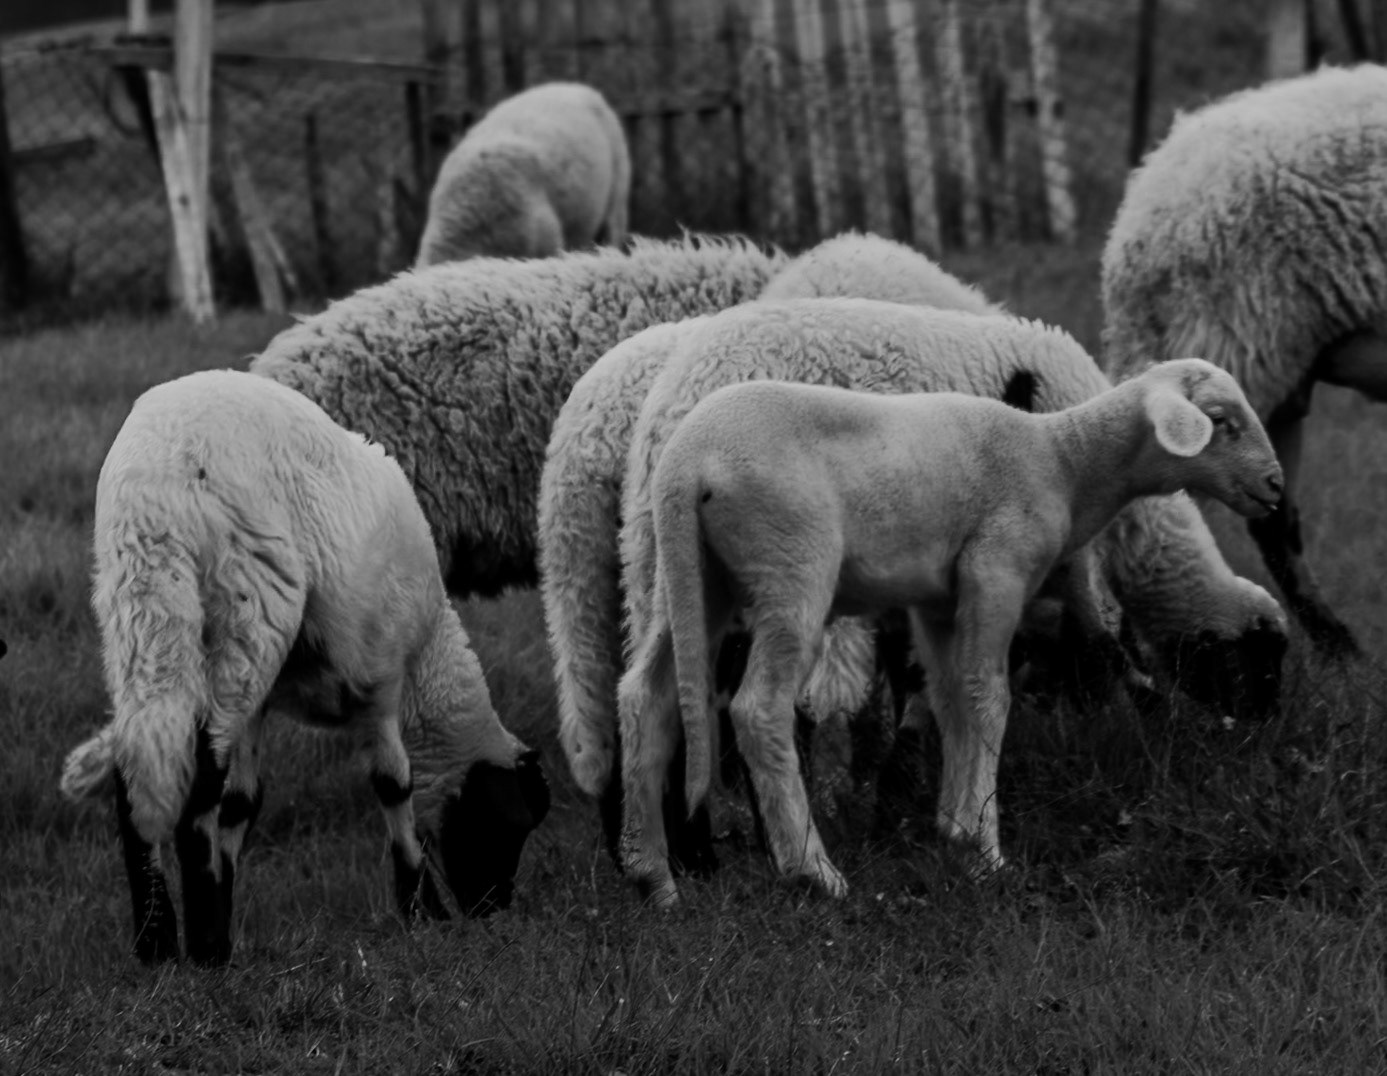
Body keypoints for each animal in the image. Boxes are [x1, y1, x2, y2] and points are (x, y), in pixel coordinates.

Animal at [58, 370, 550, 966]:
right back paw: (203, 949)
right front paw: (419, 908)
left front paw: (224, 904)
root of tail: (158, 482)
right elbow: (394, 784)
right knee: (200, 774)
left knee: (144, 760)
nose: (492, 912)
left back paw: (157, 941)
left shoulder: (264, 706)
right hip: (250, 608)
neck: (426, 657)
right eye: (511, 825)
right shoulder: (380, 676)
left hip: (136, 614)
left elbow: (242, 804)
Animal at [612, 300, 1289, 902]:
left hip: (689, 578)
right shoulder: (998, 568)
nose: (1277, 486)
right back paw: (812, 871)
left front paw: (955, 830)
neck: (1063, 459)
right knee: (758, 708)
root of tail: (685, 462)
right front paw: (986, 849)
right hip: (790, 566)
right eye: (1221, 419)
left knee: (647, 697)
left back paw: (654, 878)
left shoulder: (938, 600)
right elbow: (989, 698)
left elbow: (951, 698)